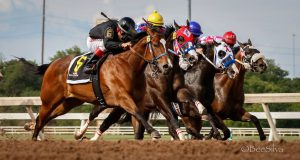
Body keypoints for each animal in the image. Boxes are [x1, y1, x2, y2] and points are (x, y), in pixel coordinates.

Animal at [32, 28, 171, 141]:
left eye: (167, 46)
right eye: (155, 44)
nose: (167, 66)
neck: (128, 65)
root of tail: (52, 64)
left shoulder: (137, 101)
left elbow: (138, 121)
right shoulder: (123, 98)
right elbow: (137, 113)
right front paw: (154, 132)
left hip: (70, 102)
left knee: (48, 117)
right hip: (49, 101)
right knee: (40, 119)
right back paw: (34, 139)